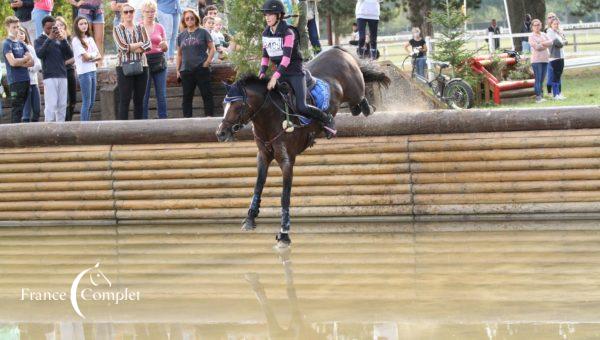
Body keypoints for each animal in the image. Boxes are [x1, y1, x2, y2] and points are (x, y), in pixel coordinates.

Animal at [214, 46, 390, 247]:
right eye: (224, 105)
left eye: (237, 106)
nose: (220, 133)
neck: (270, 117)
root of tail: (339, 50)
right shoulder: (263, 156)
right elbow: (258, 186)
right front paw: (250, 218)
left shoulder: (287, 160)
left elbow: (285, 196)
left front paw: (284, 233)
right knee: (356, 108)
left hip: (356, 91)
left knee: (362, 104)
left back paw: (350, 114)